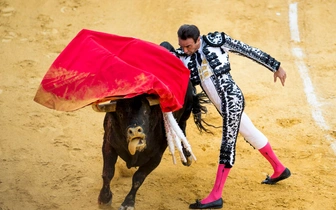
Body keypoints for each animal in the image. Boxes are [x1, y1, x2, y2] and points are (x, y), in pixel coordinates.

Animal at [96, 80, 203, 208]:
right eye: (120, 114)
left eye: (146, 111)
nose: (135, 131)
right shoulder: (108, 145)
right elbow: (108, 172)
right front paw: (104, 198)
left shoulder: (156, 157)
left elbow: (138, 178)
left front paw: (128, 203)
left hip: (186, 110)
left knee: (181, 126)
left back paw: (187, 155)